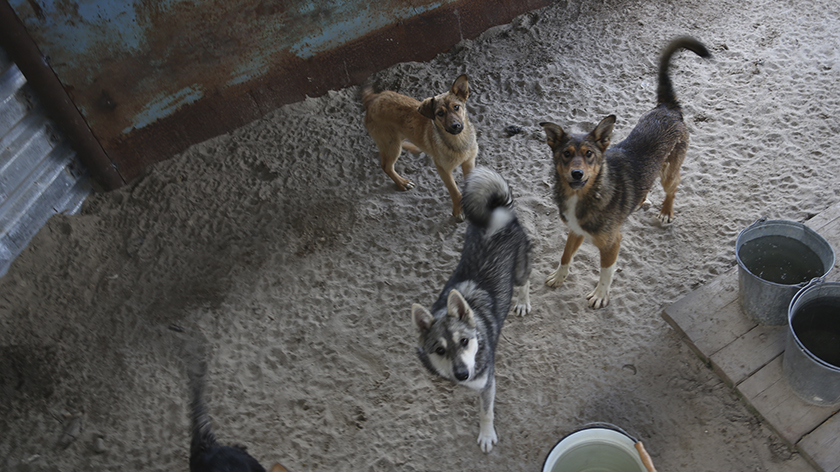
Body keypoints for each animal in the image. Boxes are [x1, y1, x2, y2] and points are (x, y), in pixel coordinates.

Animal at [362, 74, 480, 221]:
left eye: (456, 107)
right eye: (440, 113)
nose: (455, 126)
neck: (458, 140)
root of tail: (373, 98)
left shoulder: (469, 161)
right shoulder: (443, 169)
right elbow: (454, 191)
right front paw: (458, 211)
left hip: (396, 138)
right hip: (391, 144)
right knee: (386, 166)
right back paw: (402, 183)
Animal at [412, 167, 532, 454]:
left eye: (464, 341)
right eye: (439, 350)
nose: (462, 374)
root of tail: (500, 214)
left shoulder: (487, 382)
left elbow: (486, 412)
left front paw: (487, 435)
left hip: (520, 270)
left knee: (525, 282)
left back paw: (523, 302)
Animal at [540, 37, 708, 310]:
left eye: (589, 154)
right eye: (566, 154)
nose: (577, 174)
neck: (586, 194)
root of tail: (667, 108)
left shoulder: (612, 242)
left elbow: (605, 271)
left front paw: (600, 295)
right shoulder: (575, 231)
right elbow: (565, 255)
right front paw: (559, 276)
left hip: (669, 172)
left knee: (673, 187)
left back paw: (666, 212)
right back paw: (641, 201)